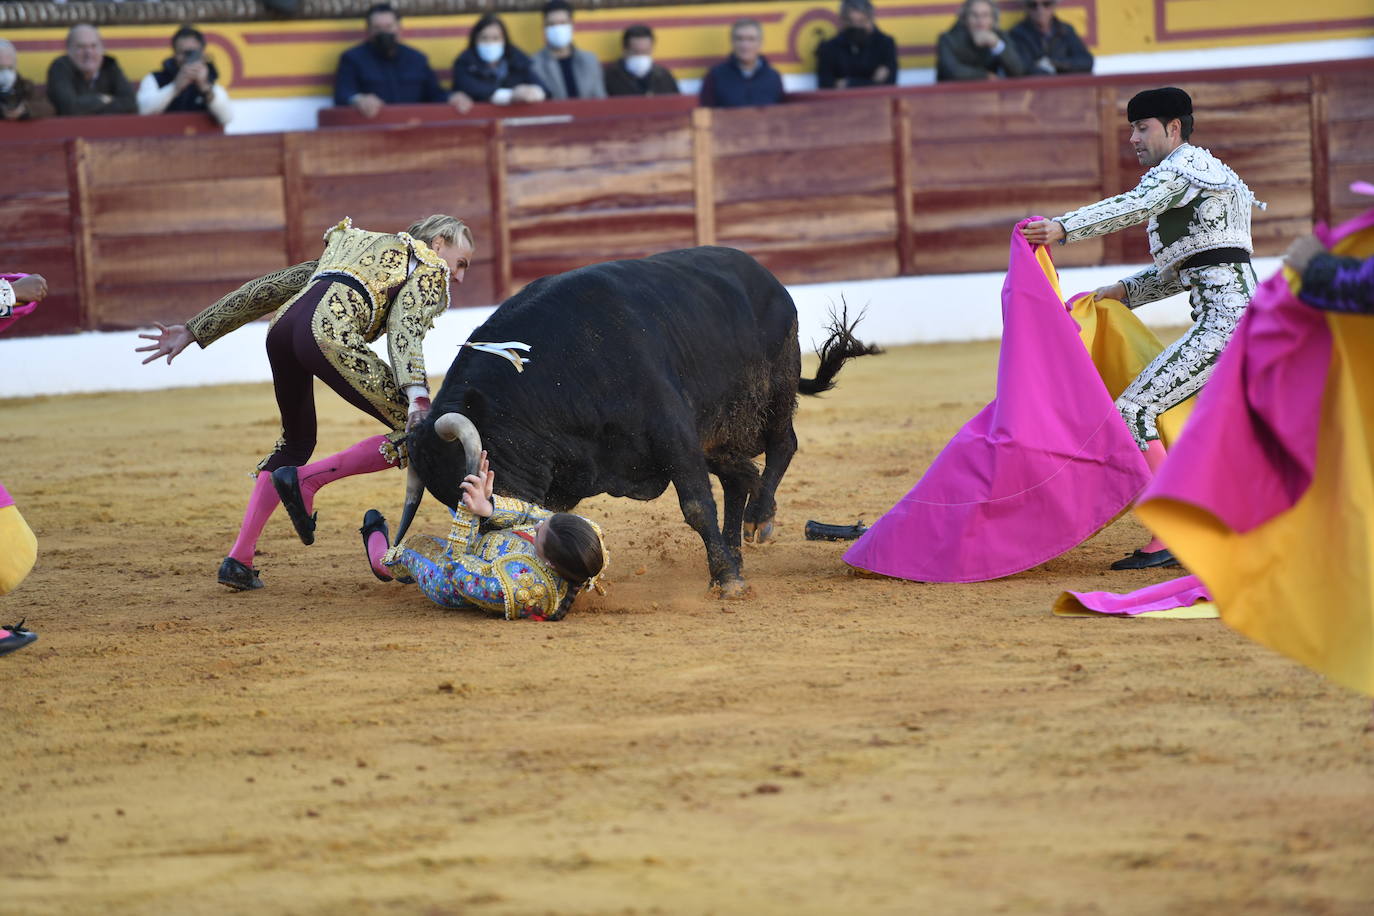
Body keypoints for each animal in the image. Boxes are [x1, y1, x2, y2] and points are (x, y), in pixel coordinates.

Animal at [395, 245, 879, 596]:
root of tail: (768, 278)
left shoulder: (674, 433)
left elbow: (696, 505)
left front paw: (727, 582)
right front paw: (727, 571)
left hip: (774, 390)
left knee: (783, 445)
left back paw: (758, 522)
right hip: (717, 435)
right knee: (740, 476)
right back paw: (737, 550)